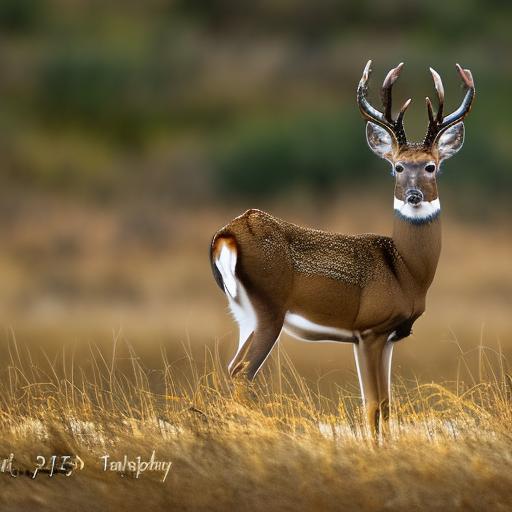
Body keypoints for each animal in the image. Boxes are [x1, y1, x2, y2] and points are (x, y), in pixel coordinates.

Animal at [210, 60, 474, 436]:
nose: (413, 195)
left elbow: (387, 405)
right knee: (243, 372)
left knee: (232, 368)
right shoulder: (369, 330)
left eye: (431, 166)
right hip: (269, 309)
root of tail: (228, 234)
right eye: (397, 166)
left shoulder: (389, 337)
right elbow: (373, 405)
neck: (406, 270)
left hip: (244, 312)